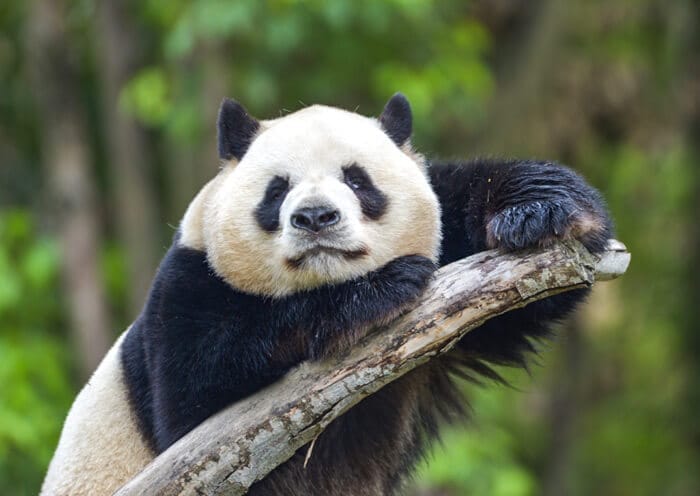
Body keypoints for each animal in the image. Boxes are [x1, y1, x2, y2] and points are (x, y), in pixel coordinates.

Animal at [41, 93, 611, 495]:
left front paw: (542, 212)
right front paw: (377, 291)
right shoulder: (188, 283)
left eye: (357, 181)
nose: (316, 217)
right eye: (277, 190)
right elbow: (194, 403)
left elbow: (515, 295)